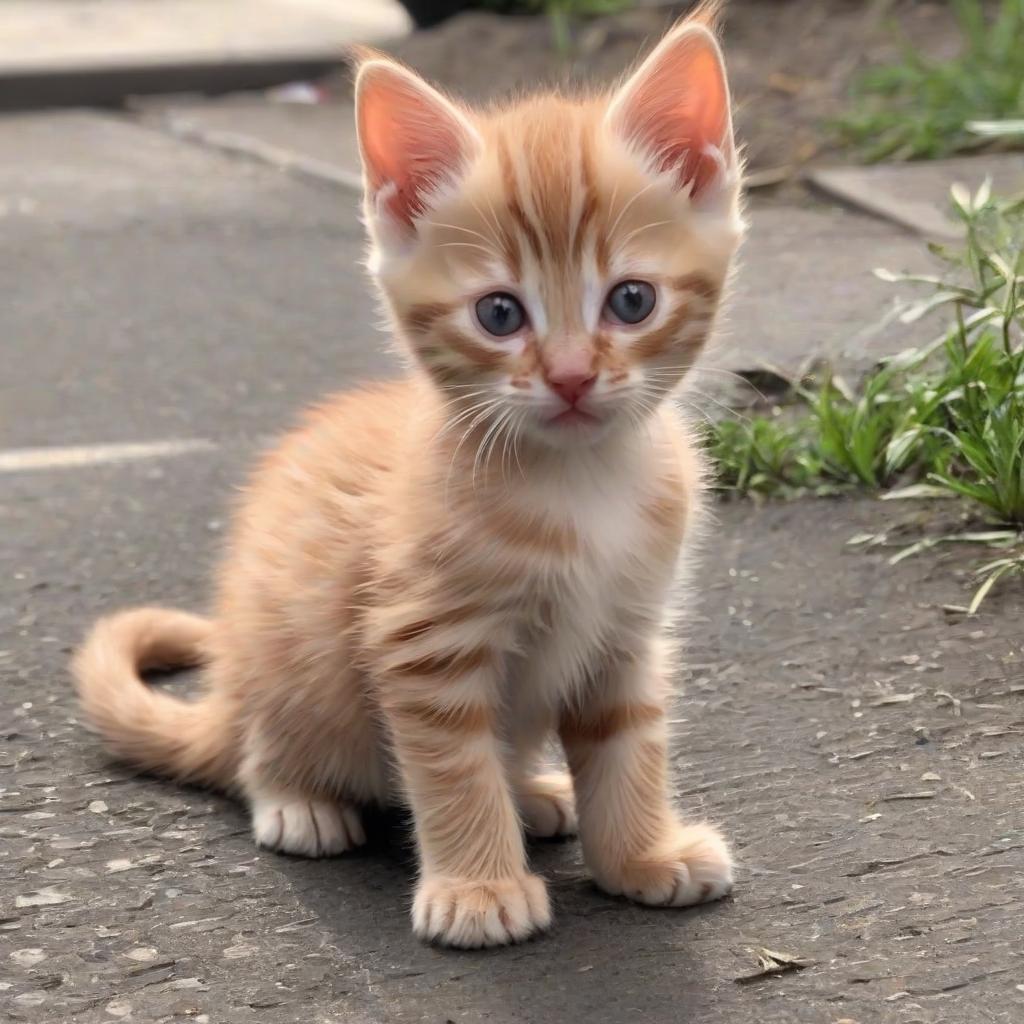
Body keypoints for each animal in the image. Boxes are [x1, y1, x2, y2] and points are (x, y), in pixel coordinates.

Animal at [72, 0, 745, 946]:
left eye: (632, 300)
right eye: (499, 314)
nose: (573, 377)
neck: (582, 484)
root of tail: (230, 692)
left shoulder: (625, 633)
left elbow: (628, 743)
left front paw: (642, 856)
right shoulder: (424, 640)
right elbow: (452, 766)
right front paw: (478, 889)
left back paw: (534, 791)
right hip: (288, 657)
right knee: (259, 755)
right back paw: (300, 801)